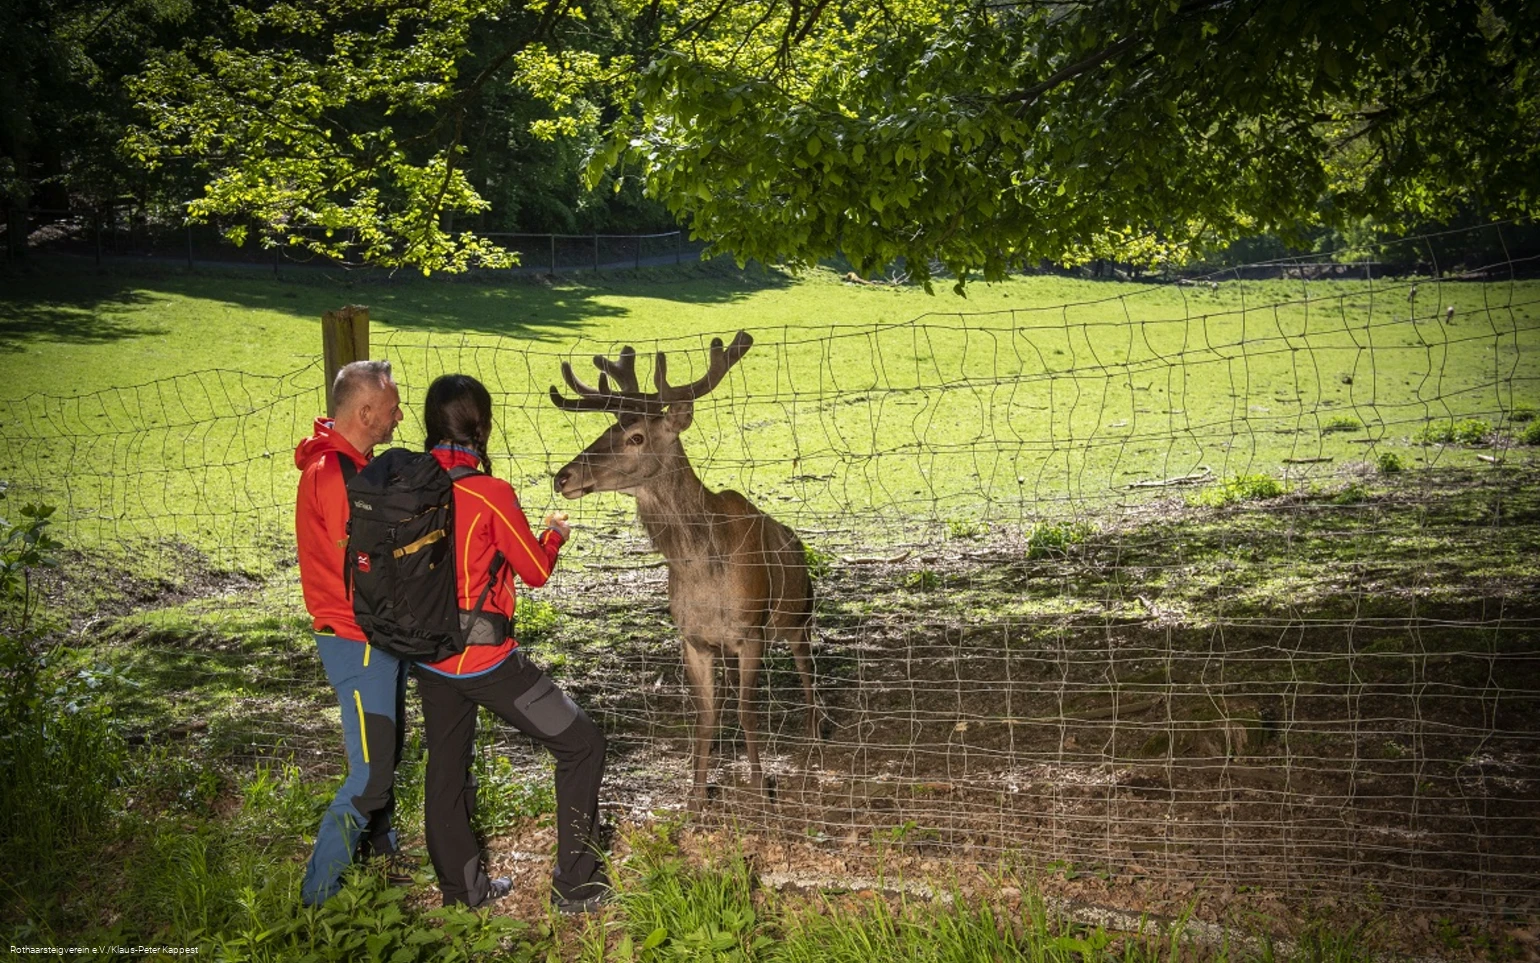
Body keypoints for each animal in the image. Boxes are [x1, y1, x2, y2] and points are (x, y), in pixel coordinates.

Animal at [549, 331, 818, 812]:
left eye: (636, 436)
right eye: (606, 429)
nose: (562, 477)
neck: (703, 573)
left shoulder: (750, 631)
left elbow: (748, 711)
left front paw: (759, 791)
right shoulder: (693, 639)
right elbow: (706, 714)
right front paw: (696, 797)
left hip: (798, 615)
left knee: (808, 671)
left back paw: (816, 738)